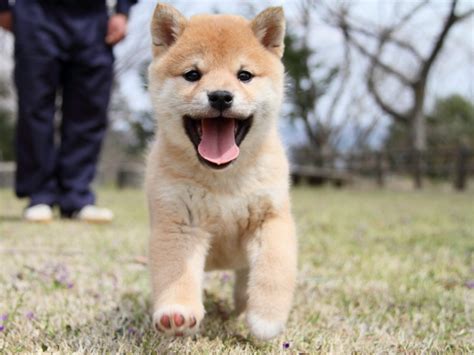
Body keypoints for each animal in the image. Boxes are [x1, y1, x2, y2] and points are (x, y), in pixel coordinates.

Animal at [146, 3, 296, 342]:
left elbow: (274, 268)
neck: (224, 180)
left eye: (244, 75)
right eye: (192, 74)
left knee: (244, 279)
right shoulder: (180, 222)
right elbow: (176, 272)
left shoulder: (272, 218)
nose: (220, 96)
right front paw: (177, 312)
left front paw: (266, 318)